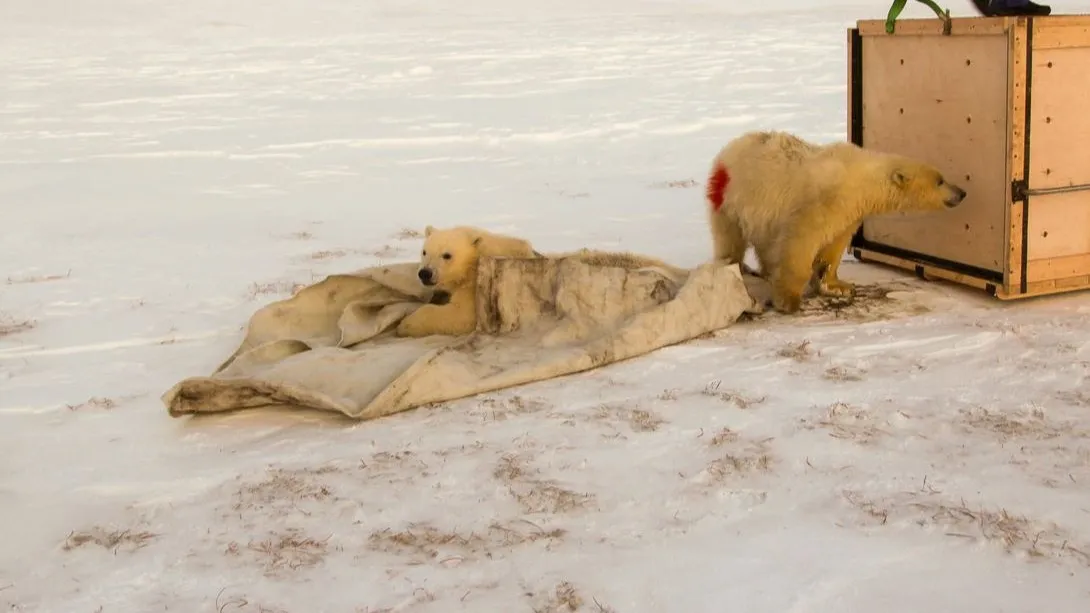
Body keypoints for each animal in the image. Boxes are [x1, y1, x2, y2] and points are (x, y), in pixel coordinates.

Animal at [396, 224, 540, 335]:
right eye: (424, 252)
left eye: (447, 255)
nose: (425, 273)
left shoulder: (475, 284)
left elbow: (462, 315)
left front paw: (404, 325)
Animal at [701, 127, 967, 309]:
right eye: (940, 180)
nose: (962, 193)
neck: (861, 179)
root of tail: (725, 152)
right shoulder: (822, 201)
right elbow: (801, 242)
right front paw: (788, 300)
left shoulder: (849, 211)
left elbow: (833, 248)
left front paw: (838, 287)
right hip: (732, 200)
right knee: (731, 240)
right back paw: (736, 267)